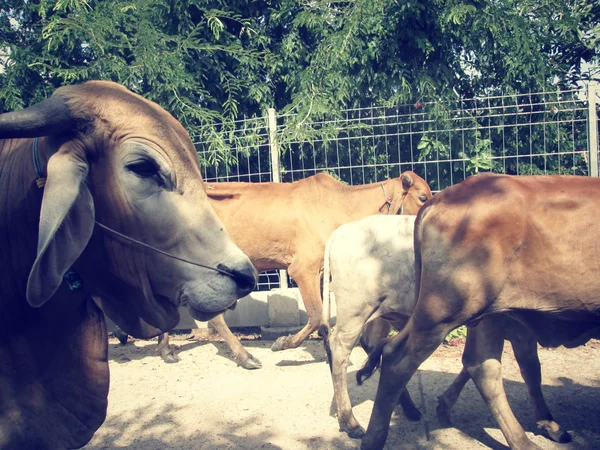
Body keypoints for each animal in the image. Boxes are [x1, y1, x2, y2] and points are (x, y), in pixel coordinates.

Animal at [155, 171, 434, 368]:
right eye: (422, 197)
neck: (340, 204)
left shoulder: (320, 272)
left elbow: (324, 321)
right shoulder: (302, 269)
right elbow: (316, 316)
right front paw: (283, 343)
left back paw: (167, 350)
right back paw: (245, 357)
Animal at [358, 172, 600, 450]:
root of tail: (442, 198)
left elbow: (527, 368)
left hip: (484, 313)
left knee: (483, 367)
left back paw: (521, 440)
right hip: (441, 313)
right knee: (397, 360)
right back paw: (374, 438)